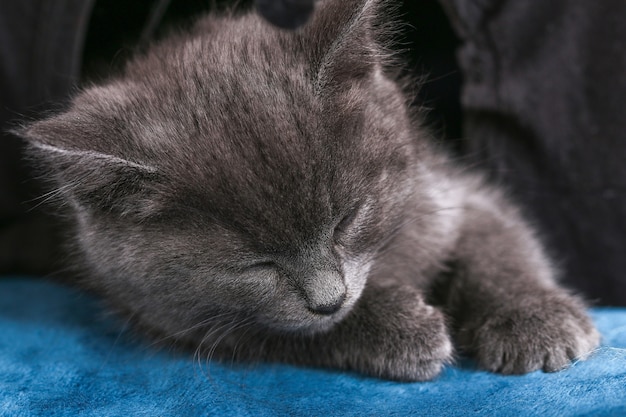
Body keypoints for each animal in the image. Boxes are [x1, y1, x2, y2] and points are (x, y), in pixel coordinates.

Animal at [17, 0, 596, 380]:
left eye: (348, 219)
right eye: (255, 264)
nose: (329, 300)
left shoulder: (446, 191)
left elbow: (498, 243)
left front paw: (534, 321)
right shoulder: (173, 318)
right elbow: (280, 334)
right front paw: (400, 329)